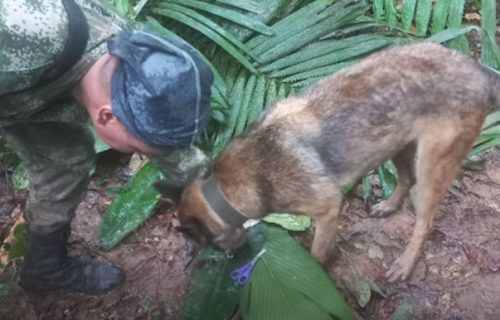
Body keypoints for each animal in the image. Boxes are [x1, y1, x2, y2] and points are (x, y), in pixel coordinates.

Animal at [158, 42, 500, 280]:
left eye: (212, 245)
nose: (232, 256)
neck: (226, 188)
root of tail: (479, 71)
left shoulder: (328, 208)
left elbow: (316, 253)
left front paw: (315, 272)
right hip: (397, 144)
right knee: (405, 179)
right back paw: (389, 206)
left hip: (431, 165)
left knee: (424, 220)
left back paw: (405, 263)